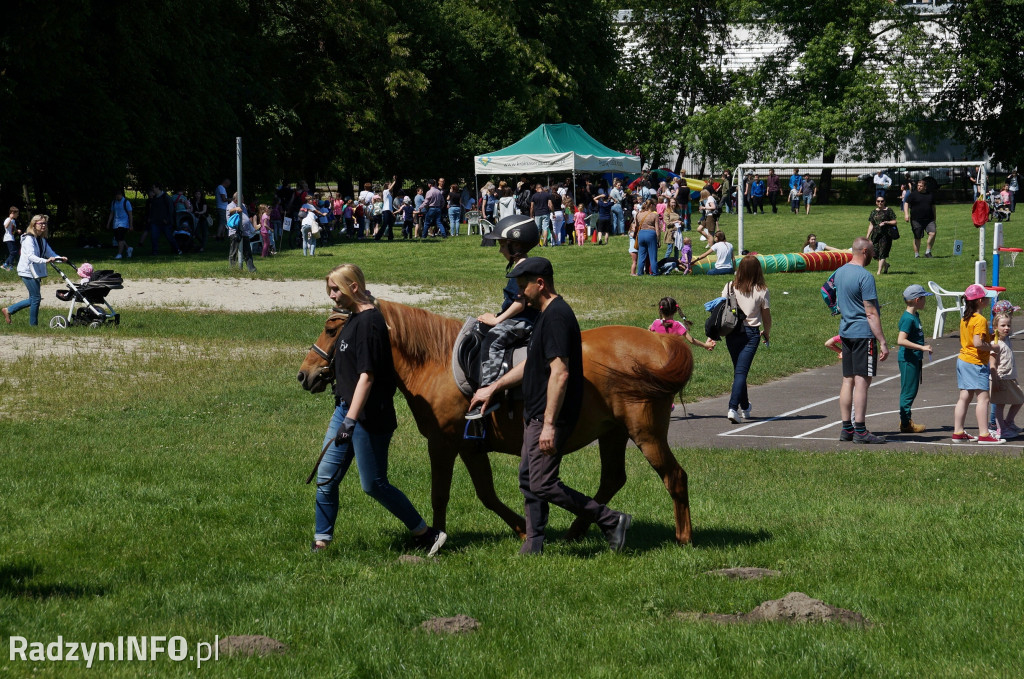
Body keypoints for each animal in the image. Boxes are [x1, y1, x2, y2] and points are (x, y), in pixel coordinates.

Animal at [296, 301, 696, 544]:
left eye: (332, 329)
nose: (305, 374)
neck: (437, 361)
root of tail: (661, 345)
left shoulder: (443, 443)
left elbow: (440, 493)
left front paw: (437, 537)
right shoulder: (470, 447)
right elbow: (486, 494)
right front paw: (522, 528)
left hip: (645, 432)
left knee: (675, 477)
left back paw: (684, 537)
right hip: (613, 433)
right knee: (613, 479)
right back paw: (581, 528)